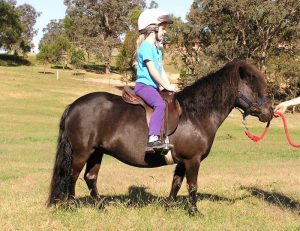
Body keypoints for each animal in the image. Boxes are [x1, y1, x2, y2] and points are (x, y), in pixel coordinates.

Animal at [48, 61, 274, 215]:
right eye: (254, 87)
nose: (269, 113)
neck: (195, 114)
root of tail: (73, 105)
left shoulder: (183, 161)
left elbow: (176, 183)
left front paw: (168, 207)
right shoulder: (193, 160)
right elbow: (192, 186)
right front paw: (194, 212)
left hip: (97, 152)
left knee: (90, 177)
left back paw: (101, 206)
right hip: (81, 152)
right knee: (72, 177)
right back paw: (71, 205)